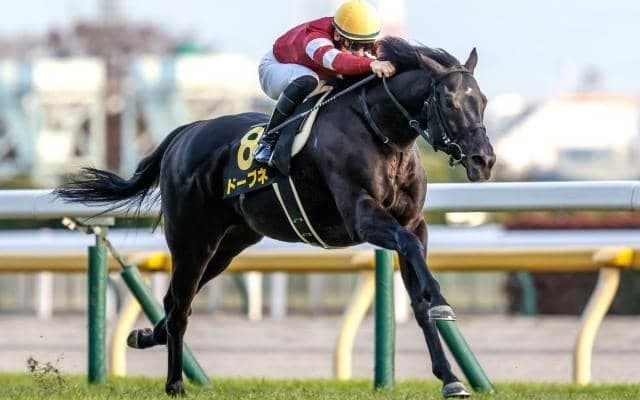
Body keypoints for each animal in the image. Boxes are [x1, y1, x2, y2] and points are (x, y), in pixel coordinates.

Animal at [54, 36, 495, 398]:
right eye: (450, 102)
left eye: (483, 100)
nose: (484, 160)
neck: (381, 133)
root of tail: (185, 133)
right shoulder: (363, 217)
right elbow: (415, 263)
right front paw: (441, 300)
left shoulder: (412, 223)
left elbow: (418, 292)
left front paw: (450, 377)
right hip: (191, 239)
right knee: (179, 304)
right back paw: (175, 382)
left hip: (231, 243)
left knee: (179, 299)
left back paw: (148, 336)